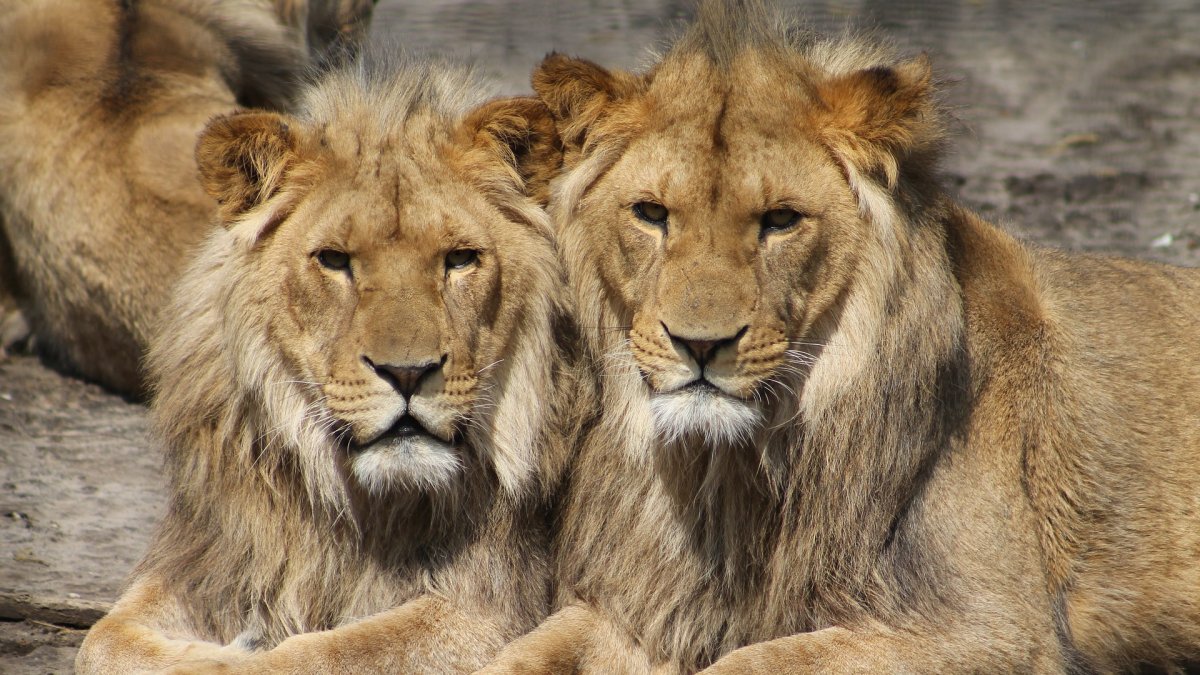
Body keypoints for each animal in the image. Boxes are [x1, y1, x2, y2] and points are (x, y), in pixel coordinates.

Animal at [74, 57, 579, 673]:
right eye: (334, 261)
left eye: (460, 259)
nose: (408, 373)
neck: (357, 504)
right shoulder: (215, 557)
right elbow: (103, 639)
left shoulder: (489, 608)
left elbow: (321, 652)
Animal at [481, 2, 1200, 673]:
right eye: (652, 214)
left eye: (781, 220)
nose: (700, 346)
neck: (725, 474)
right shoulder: (644, 604)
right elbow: (526, 647)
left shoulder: (996, 627)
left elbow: (749, 661)